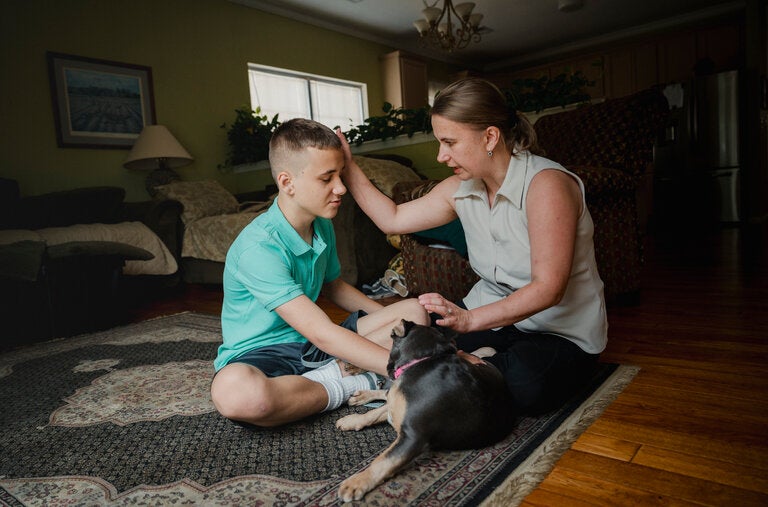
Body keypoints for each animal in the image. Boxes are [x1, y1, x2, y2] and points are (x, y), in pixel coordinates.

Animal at [334, 320, 516, 502]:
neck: (422, 361)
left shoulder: (413, 437)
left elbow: (384, 459)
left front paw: (357, 482)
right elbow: (374, 413)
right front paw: (352, 420)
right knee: (385, 394)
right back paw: (361, 391)